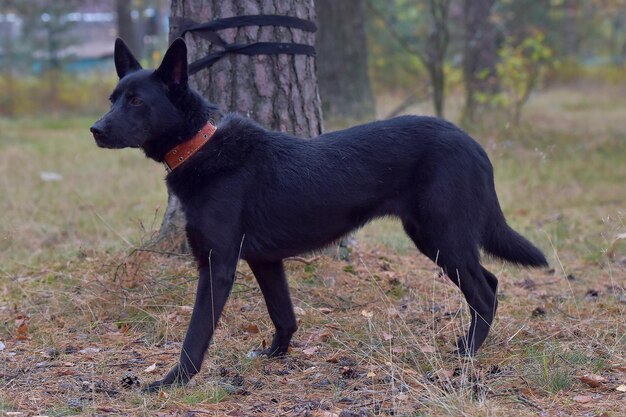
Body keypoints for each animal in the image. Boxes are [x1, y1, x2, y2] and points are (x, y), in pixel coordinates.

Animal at [90, 39, 544, 390]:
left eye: (137, 101)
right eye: (113, 99)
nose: (95, 130)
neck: (201, 146)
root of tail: (474, 145)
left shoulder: (217, 264)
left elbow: (197, 333)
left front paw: (172, 381)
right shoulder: (265, 260)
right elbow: (283, 315)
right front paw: (274, 355)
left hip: (441, 235)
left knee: (483, 291)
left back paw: (466, 352)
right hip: (434, 236)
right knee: (491, 280)